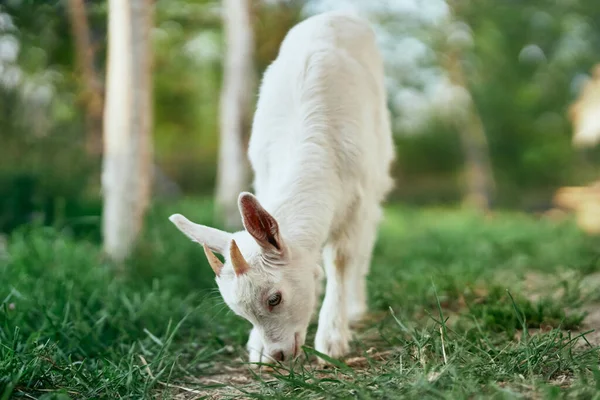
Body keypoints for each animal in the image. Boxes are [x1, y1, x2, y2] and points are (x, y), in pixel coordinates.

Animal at [169, 10, 394, 364]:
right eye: (240, 313)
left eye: (274, 298)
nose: (279, 355)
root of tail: (336, 13)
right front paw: (257, 349)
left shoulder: (358, 197)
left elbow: (342, 259)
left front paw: (331, 339)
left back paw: (355, 307)